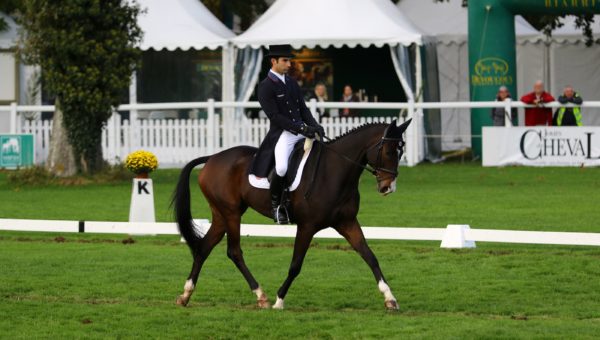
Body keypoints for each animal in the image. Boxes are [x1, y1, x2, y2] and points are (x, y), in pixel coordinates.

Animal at [171, 118, 410, 310]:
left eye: (401, 152)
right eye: (389, 151)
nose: (388, 187)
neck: (334, 171)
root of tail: (212, 157)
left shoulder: (347, 222)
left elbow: (370, 256)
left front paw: (390, 299)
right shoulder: (307, 226)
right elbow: (296, 265)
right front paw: (279, 301)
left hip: (221, 215)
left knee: (204, 248)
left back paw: (185, 295)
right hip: (231, 214)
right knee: (234, 252)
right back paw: (261, 296)